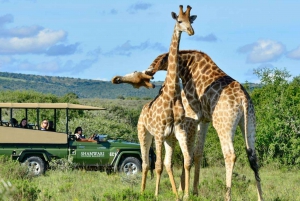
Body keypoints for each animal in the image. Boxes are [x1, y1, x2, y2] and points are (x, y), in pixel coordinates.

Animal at [111, 49, 264, 201]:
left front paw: (183, 192)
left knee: (230, 155)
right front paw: (193, 191)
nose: (116, 79)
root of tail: (243, 99)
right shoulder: (204, 120)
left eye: (135, 75)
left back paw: (227, 196)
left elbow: (188, 154)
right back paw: (260, 197)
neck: (187, 68)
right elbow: (197, 153)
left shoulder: (191, 118)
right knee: (253, 156)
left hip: (223, 124)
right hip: (250, 121)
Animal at [136, 5, 197, 199]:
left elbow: (185, 161)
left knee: (167, 164)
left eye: (191, 20)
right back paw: (142, 191)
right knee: (146, 163)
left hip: (167, 138)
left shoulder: (176, 131)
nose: (191, 31)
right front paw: (156, 194)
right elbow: (157, 166)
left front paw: (183, 195)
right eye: (179, 20)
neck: (172, 95)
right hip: (144, 133)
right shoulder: (159, 133)